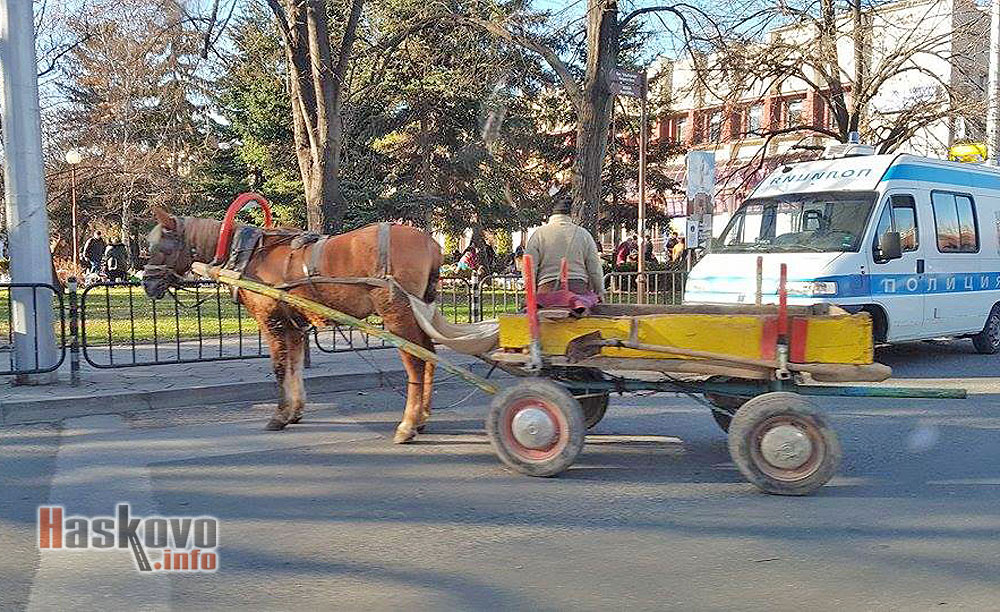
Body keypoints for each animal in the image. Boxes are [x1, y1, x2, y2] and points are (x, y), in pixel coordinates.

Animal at [142, 207, 442, 443]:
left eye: (161, 247)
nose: (147, 283)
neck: (250, 255)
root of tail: (431, 244)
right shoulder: (294, 325)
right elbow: (295, 365)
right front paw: (295, 411)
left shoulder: (271, 320)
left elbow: (278, 367)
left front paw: (279, 414)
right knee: (429, 354)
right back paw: (422, 417)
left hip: (396, 314)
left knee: (416, 361)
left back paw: (407, 425)